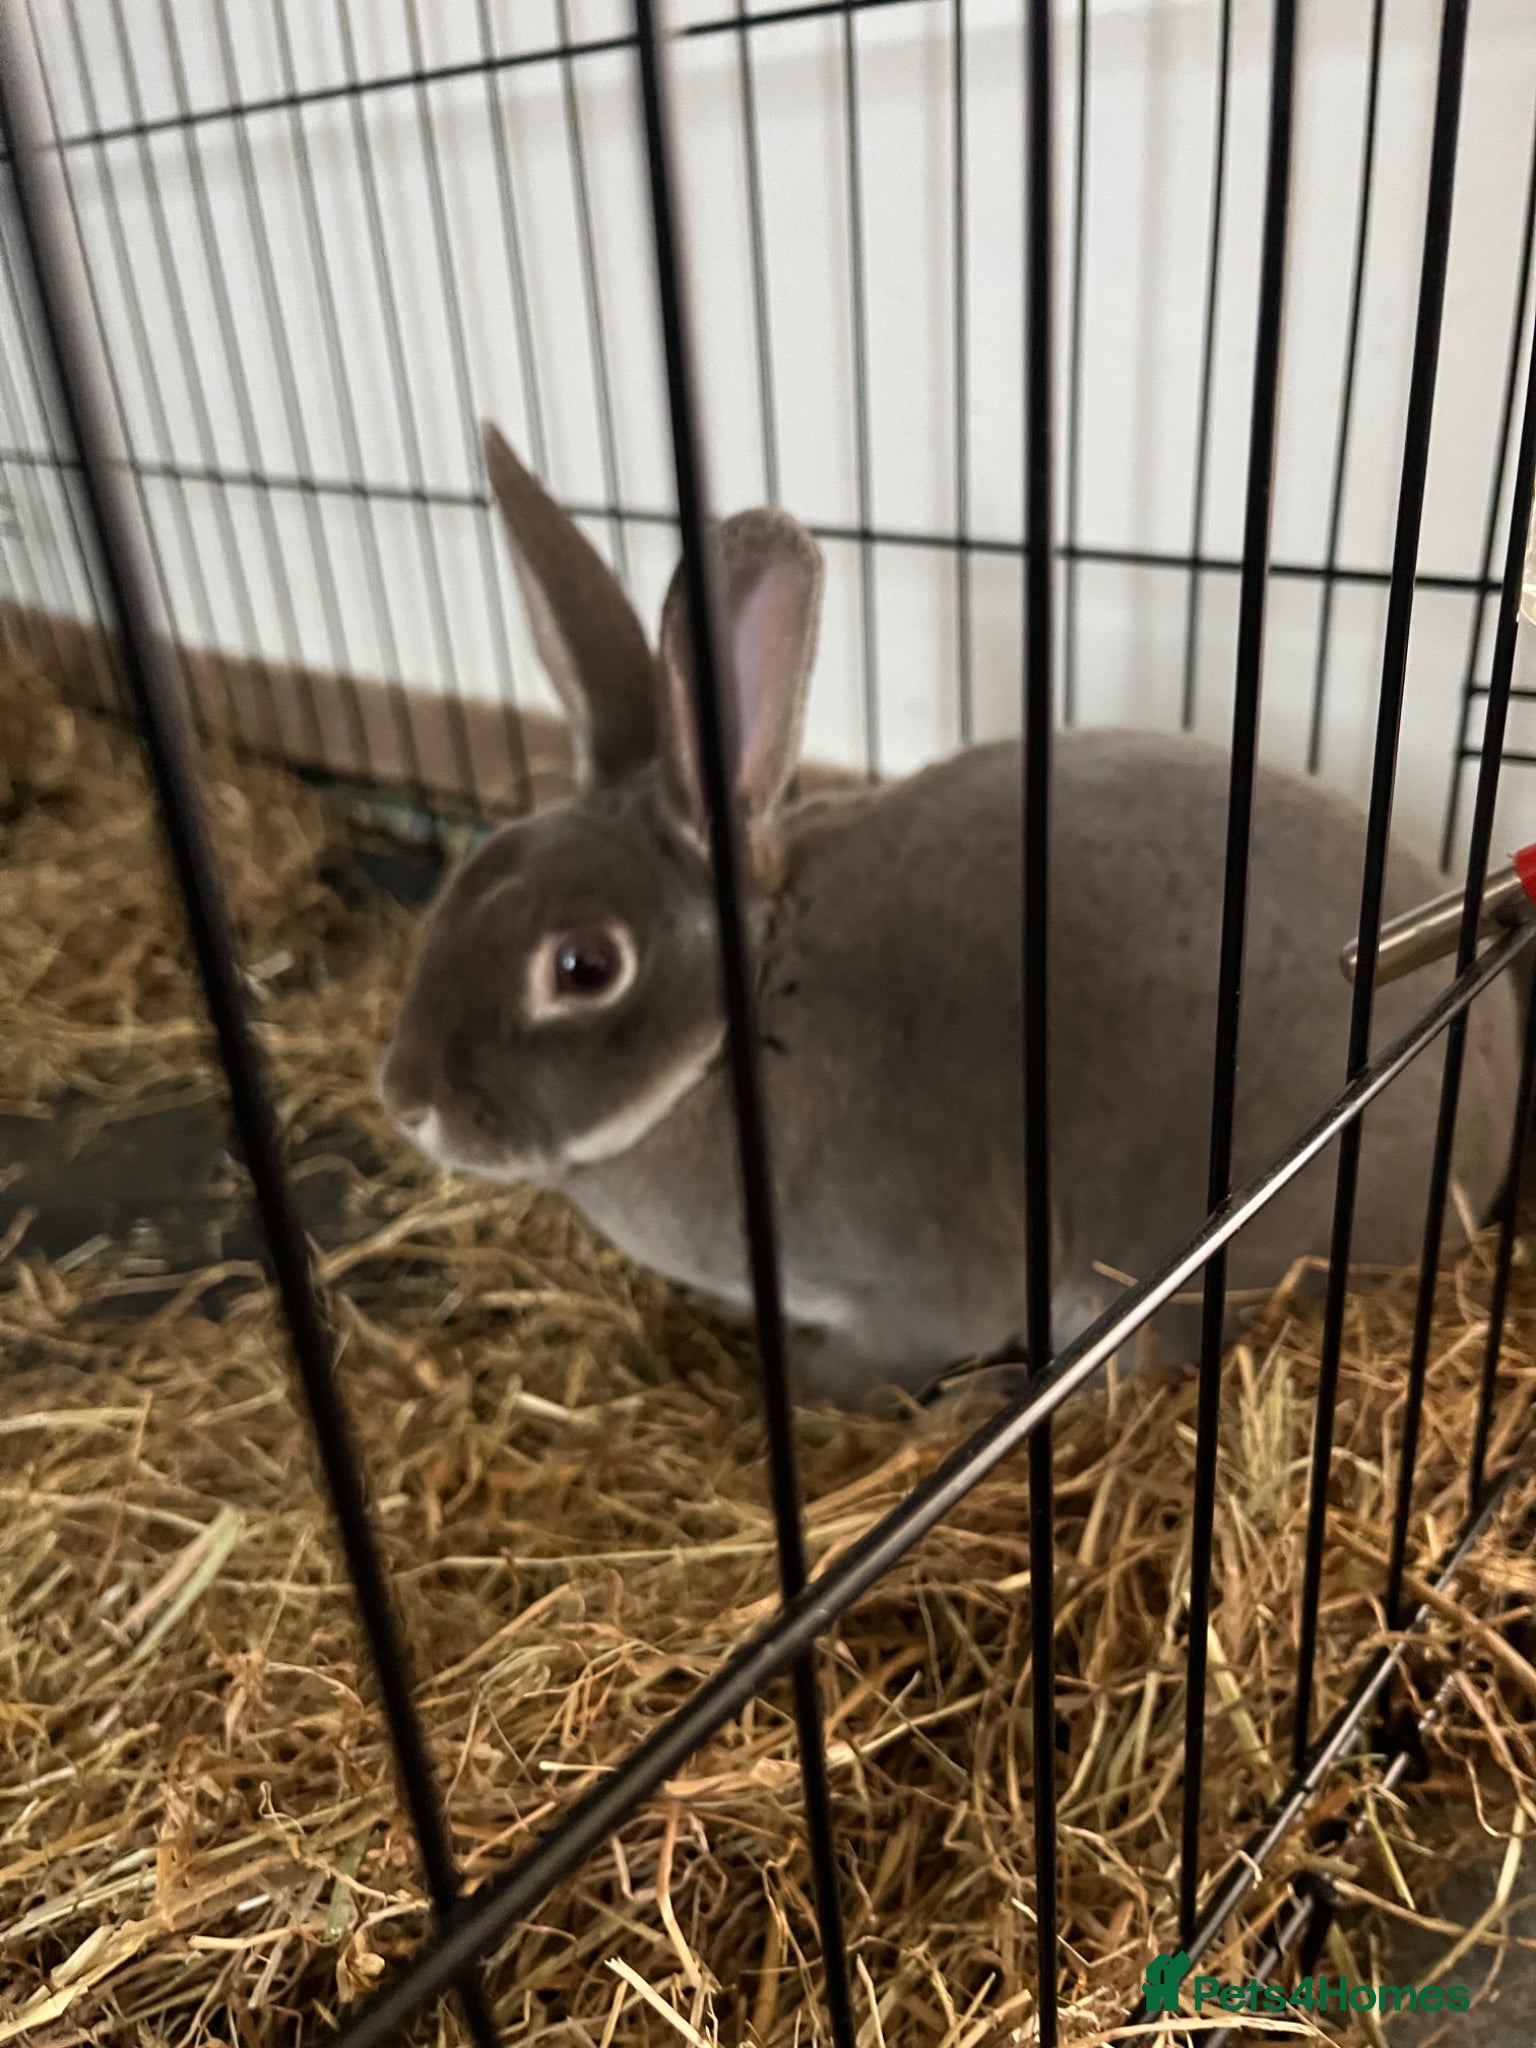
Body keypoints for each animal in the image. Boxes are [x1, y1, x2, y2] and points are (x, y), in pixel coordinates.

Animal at [377, 425, 1524, 1411]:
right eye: (471, 876)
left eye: (582, 966)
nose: (405, 1099)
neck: (739, 1026)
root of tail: (1485, 1148)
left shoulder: (910, 1284)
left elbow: (881, 1357)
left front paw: (806, 1384)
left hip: (1196, 1247)